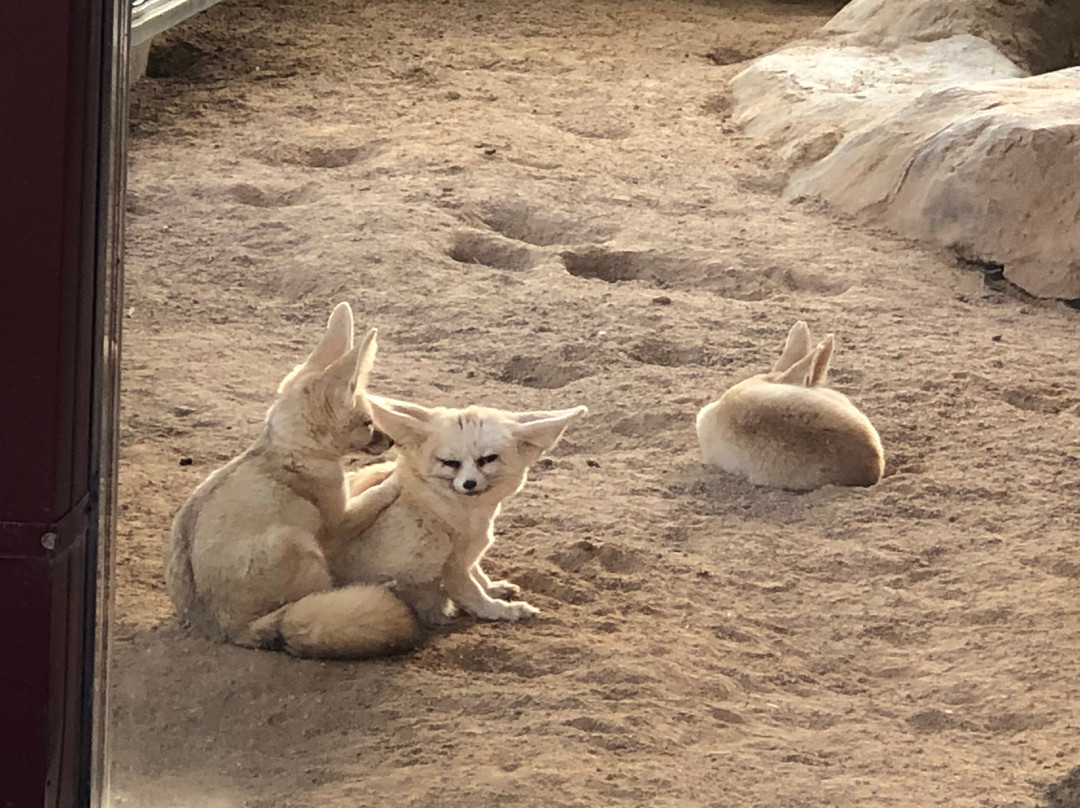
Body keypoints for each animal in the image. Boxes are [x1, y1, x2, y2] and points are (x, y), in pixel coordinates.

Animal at [163, 302, 416, 656]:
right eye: (367, 423)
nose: (390, 442)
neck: (289, 447)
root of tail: (227, 630)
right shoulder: (340, 521)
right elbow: (374, 496)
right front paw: (394, 478)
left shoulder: (341, 489)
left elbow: (358, 477)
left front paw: (382, 469)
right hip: (301, 543)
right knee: (322, 594)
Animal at [336, 397, 591, 626]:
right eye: (450, 462)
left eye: (487, 459)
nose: (469, 483)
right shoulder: (449, 565)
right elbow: (472, 595)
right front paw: (505, 610)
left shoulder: (465, 555)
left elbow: (478, 575)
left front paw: (494, 588)